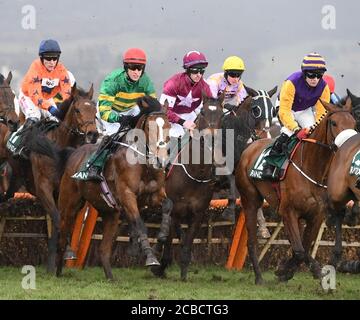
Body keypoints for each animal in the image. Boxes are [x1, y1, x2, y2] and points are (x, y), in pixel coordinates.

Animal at [6, 85, 99, 272]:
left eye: (95, 110)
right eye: (78, 110)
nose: (93, 134)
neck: (58, 148)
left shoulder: (64, 192)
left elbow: (66, 220)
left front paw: (56, 259)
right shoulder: (43, 187)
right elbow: (57, 218)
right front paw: (65, 252)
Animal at [56, 95, 172, 280]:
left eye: (168, 126)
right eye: (149, 127)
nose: (161, 161)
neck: (142, 163)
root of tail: (74, 153)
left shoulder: (154, 194)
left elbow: (168, 205)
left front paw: (160, 238)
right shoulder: (127, 195)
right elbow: (140, 223)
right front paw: (150, 257)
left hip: (110, 212)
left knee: (103, 249)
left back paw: (110, 277)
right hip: (69, 204)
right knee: (62, 231)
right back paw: (61, 265)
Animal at [235, 98, 356, 284]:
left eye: (354, 123)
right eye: (334, 123)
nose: (348, 146)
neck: (312, 168)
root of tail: (251, 145)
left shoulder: (315, 215)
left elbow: (303, 248)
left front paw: (292, 270)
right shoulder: (288, 211)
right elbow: (300, 251)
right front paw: (284, 271)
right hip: (250, 201)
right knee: (252, 241)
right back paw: (259, 277)